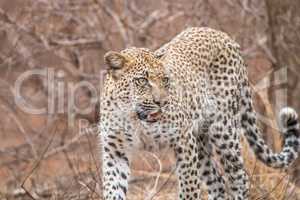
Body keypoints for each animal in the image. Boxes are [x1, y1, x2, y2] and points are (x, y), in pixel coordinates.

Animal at [99, 27, 300, 200]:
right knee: (218, 184)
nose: (161, 102)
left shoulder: (183, 141)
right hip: (201, 143)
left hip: (223, 131)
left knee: (239, 178)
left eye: (165, 80)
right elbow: (113, 189)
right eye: (142, 80)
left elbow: (189, 188)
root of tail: (223, 35)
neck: (133, 117)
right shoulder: (115, 151)